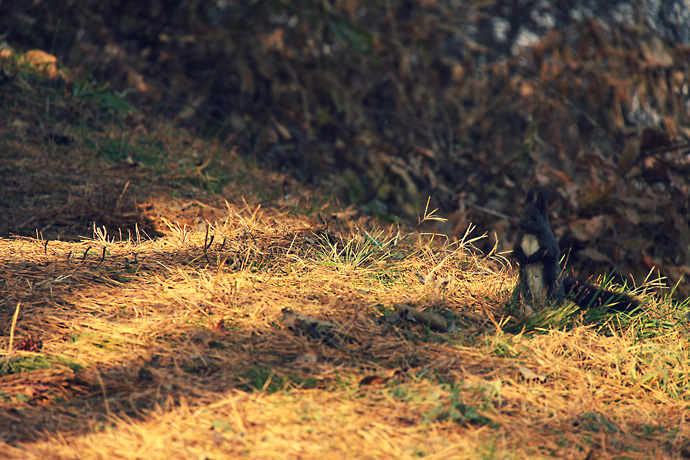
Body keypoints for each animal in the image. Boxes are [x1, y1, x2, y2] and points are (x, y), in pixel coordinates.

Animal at [510, 186, 640, 312]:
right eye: (521, 214)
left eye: (534, 218)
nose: (521, 225)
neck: (530, 235)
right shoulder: (519, 239)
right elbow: (516, 251)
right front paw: (523, 258)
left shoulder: (549, 242)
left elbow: (549, 253)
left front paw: (531, 257)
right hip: (523, 286)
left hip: (551, 286)